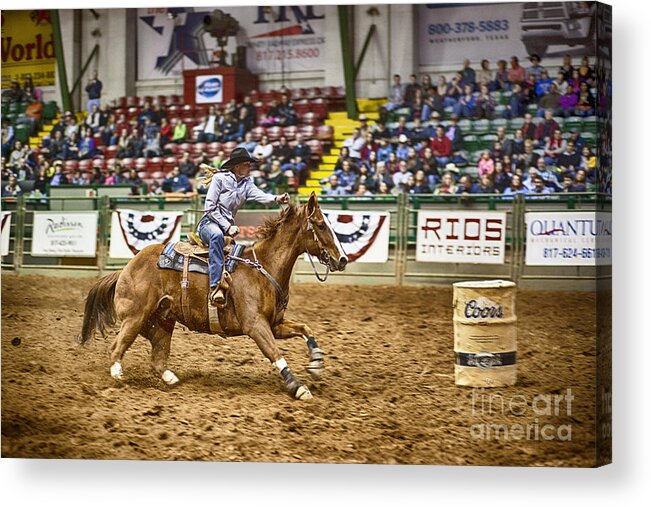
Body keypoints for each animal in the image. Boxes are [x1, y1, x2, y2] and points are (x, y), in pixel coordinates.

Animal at [77, 193, 346, 400]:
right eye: (321, 225)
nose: (342, 259)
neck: (264, 267)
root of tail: (126, 267)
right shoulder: (255, 325)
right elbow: (275, 354)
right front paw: (297, 386)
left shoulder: (275, 324)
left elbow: (305, 328)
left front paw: (316, 363)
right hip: (135, 317)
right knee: (116, 347)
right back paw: (117, 375)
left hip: (162, 320)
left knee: (157, 357)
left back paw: (171, 378)